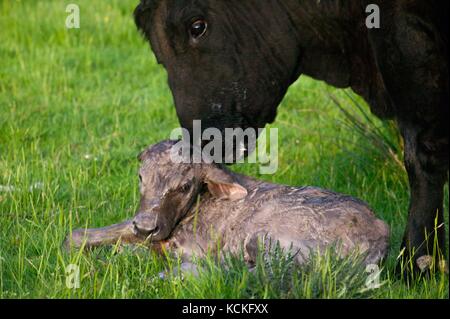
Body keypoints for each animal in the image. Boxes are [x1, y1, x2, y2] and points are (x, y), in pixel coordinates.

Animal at [64, 141, 390, 266]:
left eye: (184, 186)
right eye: (140, 176)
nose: (146, 226)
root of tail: (381, 230)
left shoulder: (187, 247)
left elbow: (137, 248)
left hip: (268, 241)